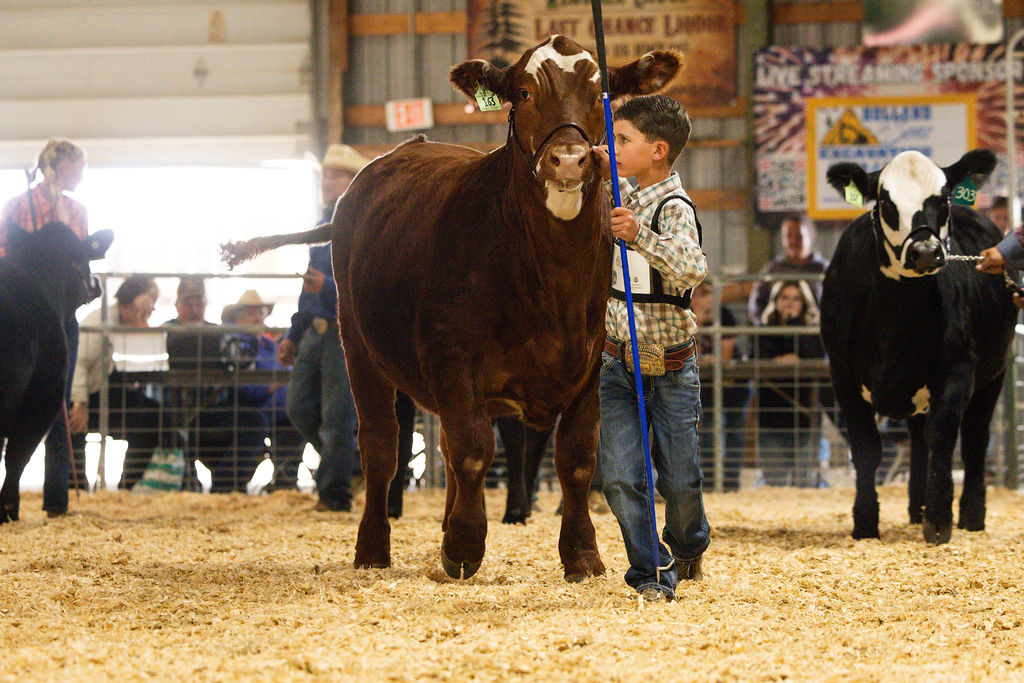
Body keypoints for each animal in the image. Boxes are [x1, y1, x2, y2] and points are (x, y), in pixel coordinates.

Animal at [819, 149, 1011, 544]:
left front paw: (938, 521)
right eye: (884, 202)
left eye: (944, 199)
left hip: (994, 375)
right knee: (918, 442)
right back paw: (914, 508)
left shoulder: (958, 370)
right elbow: (865, 447)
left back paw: (971, 515)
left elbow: (942, 435)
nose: (924, 251)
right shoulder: (842, 375)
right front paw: (865, 523)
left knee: (973, 441)